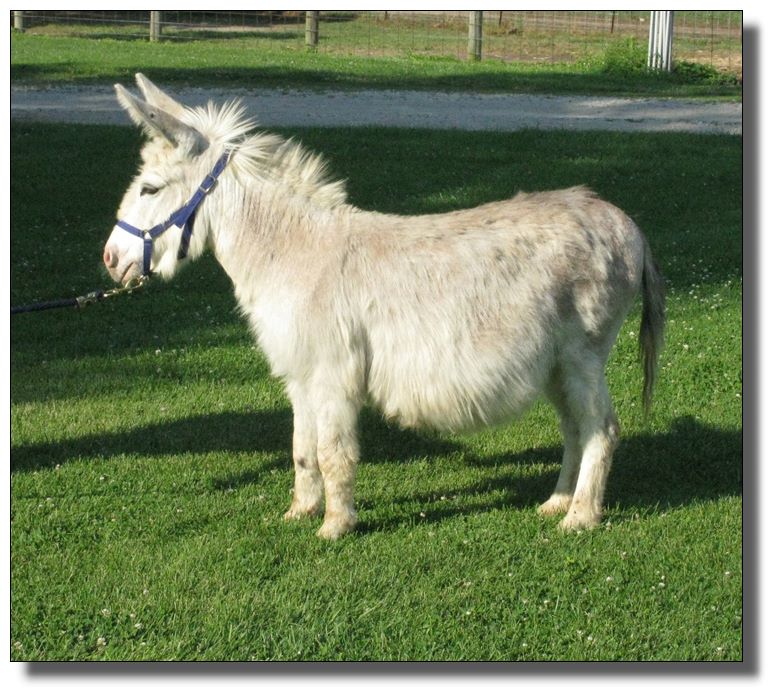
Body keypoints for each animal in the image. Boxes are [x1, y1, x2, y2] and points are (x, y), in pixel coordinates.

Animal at [103, 74, 665, 540]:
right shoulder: (300, 377)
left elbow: (333, 453)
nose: (110, 260)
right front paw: (300, 513)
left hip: (582, 355)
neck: (293, 252)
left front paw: (335, 527)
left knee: (601, 428)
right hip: (554, 363)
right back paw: (556, 502)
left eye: (150, 188)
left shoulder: (332, 375)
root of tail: (625, 220)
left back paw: (581, 517)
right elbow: (302, 449)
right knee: (575, 427)